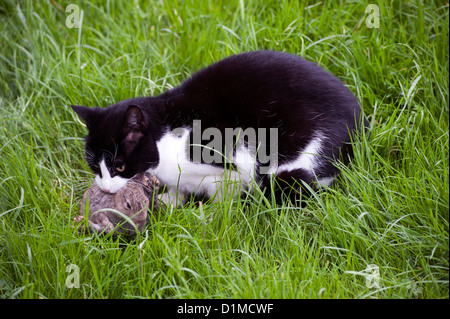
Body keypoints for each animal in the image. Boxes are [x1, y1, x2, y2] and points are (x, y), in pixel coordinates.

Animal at [71, 50, 366, 205]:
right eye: (94, 166)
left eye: (119, 166)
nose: (105, 188)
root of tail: (361, 121)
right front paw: (167, 203)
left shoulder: (229, 153)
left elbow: (224, 195)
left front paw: (208, 220)